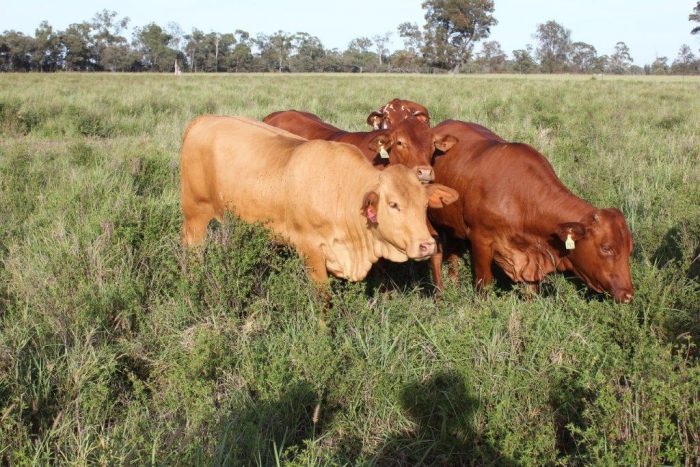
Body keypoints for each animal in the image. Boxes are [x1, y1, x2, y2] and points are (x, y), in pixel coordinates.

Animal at [426, 119, 636, 304]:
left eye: (629, 249)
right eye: (606, 248)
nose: (627, 294)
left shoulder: (531, 261)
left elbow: (530, 293)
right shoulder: (481, 240)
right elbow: (484, 285)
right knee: (436, 257)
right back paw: (439, 297)